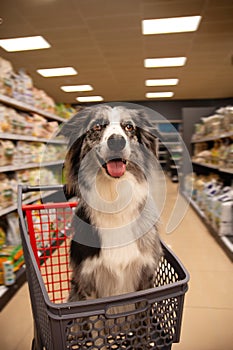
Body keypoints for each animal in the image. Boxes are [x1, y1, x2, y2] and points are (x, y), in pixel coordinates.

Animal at [60, 104, 162, 318]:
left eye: (129, 127)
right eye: (97, 126)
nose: (116, 141)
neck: (114, 197)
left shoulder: (146, 277)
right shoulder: (87, 284)